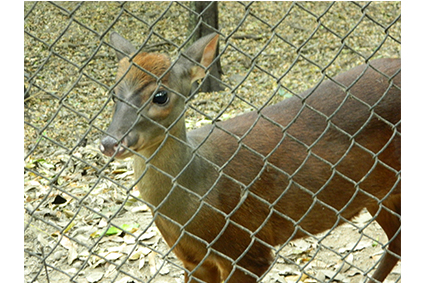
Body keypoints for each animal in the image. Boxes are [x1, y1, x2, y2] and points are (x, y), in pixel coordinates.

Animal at [100, 31, 400, 283]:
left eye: (160, 96)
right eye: (114, 94)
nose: (110, 143)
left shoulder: (246, 251)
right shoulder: (192, 259)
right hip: (378, 193)